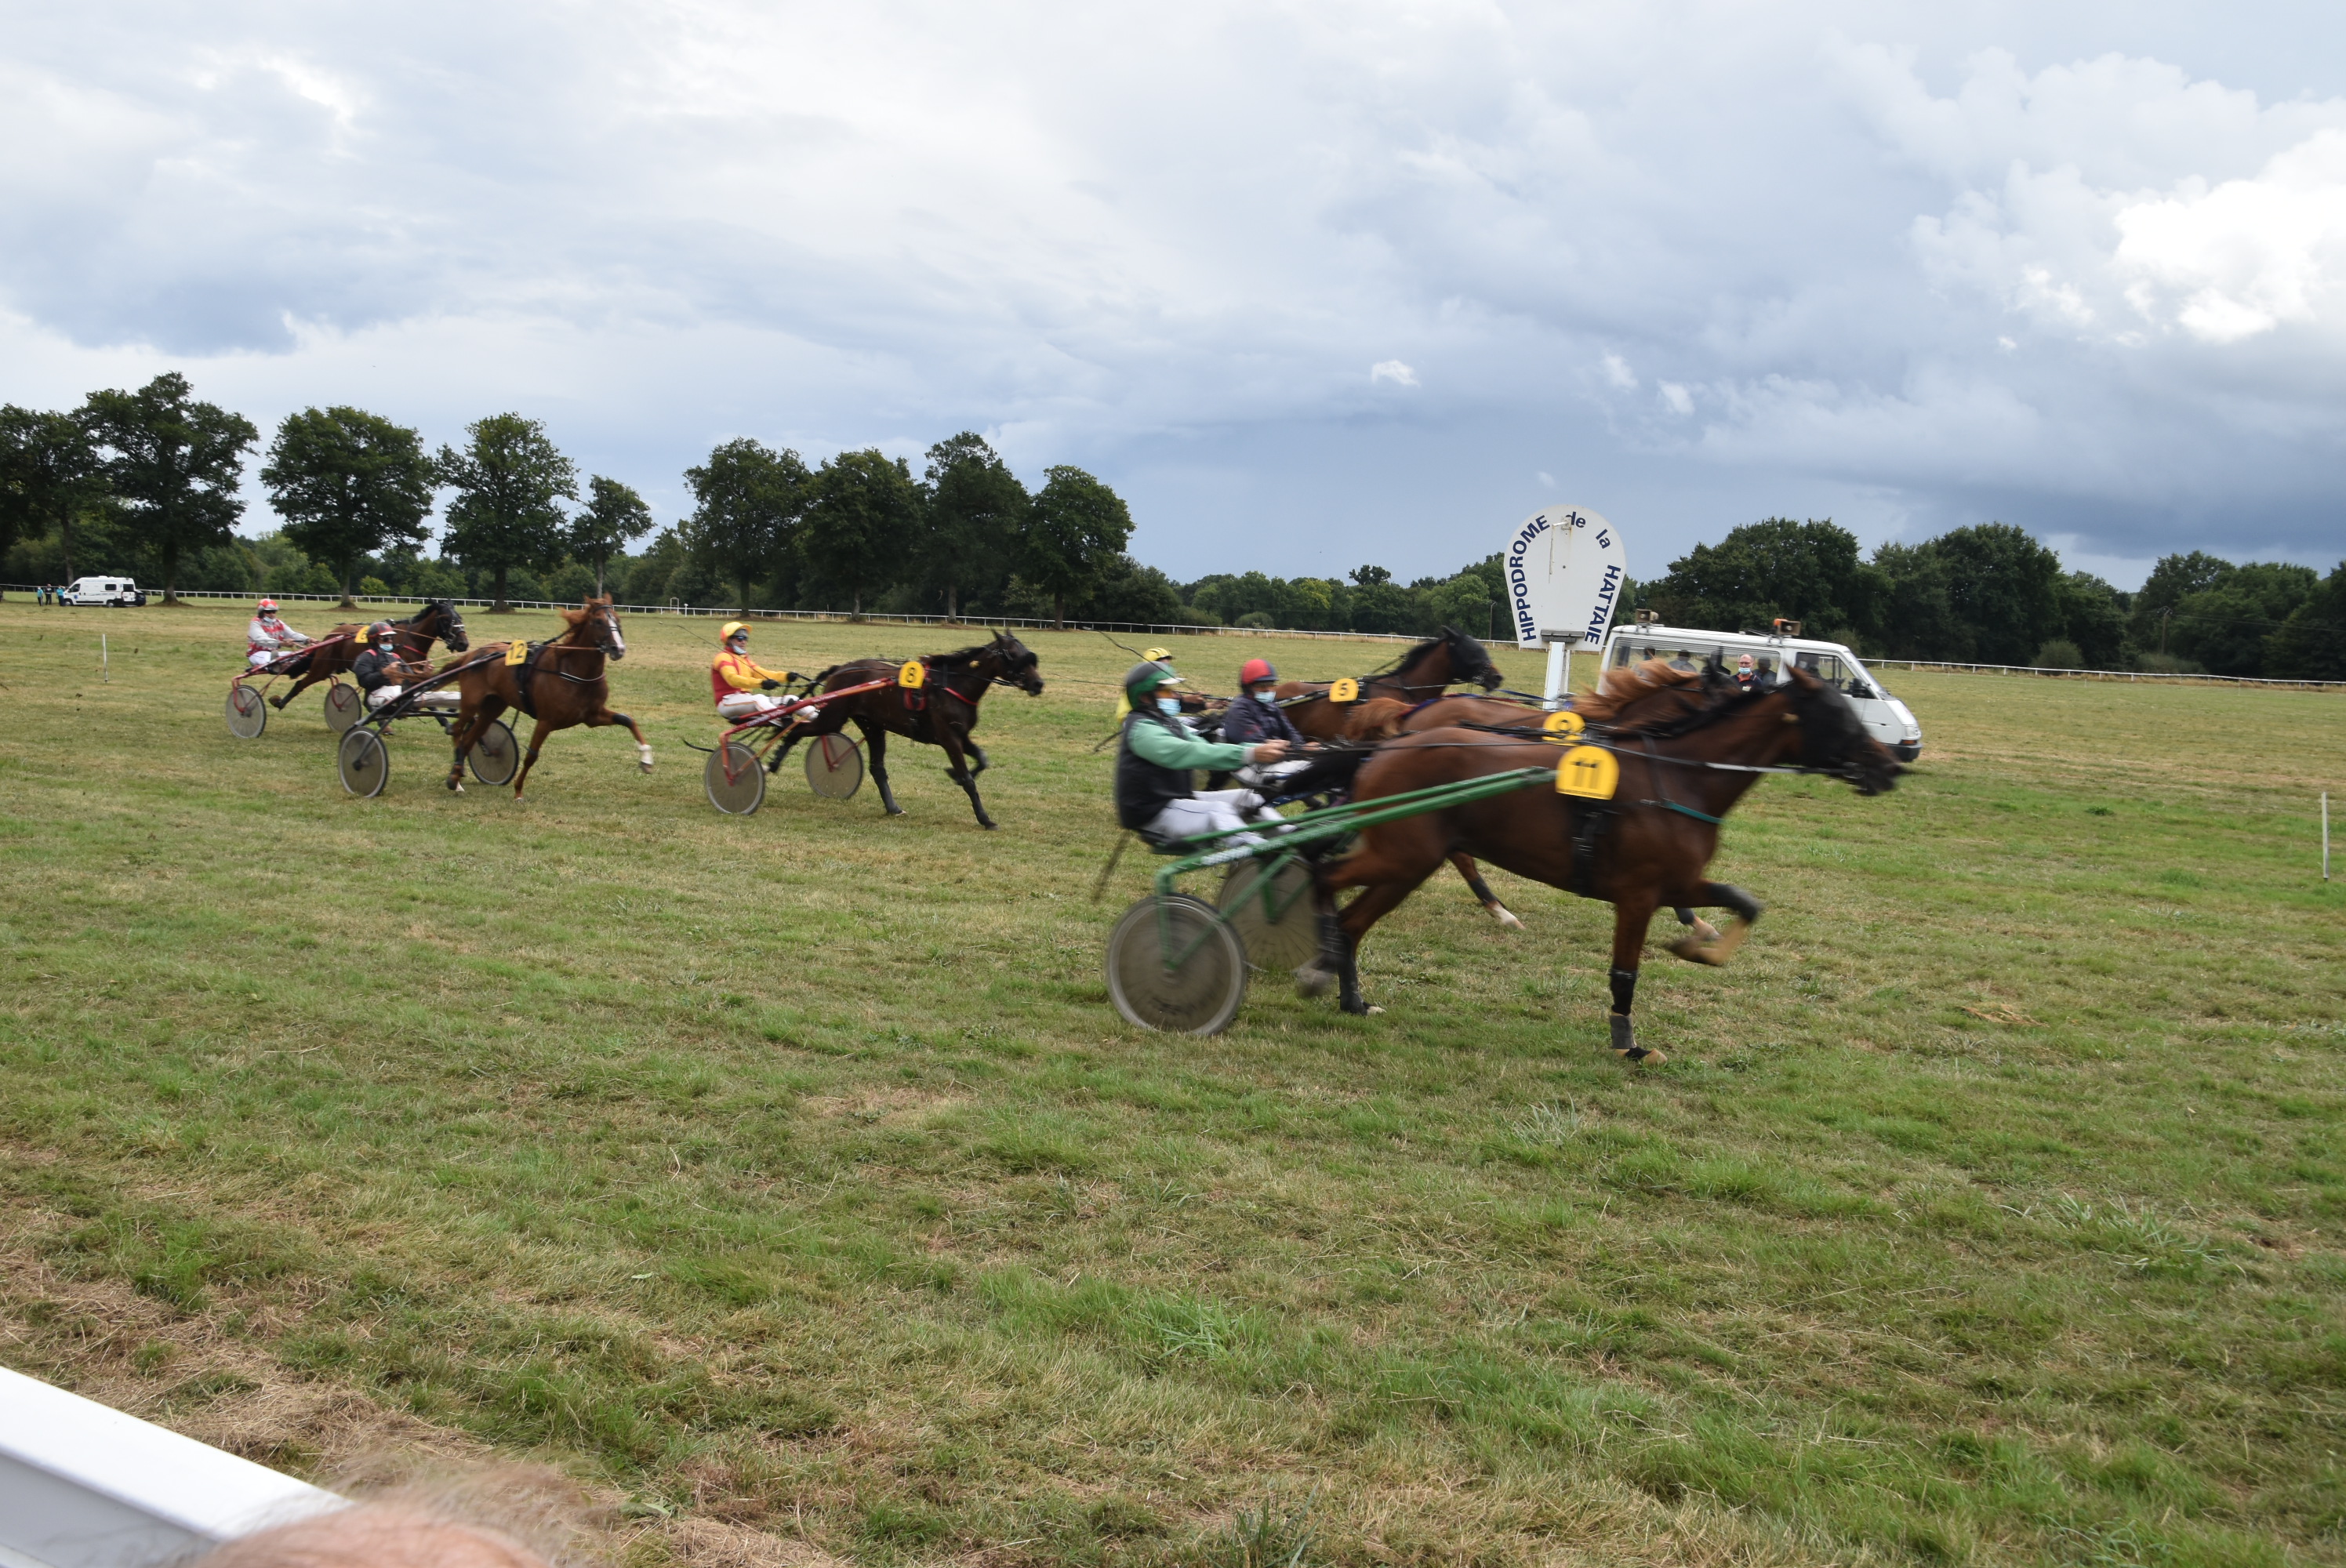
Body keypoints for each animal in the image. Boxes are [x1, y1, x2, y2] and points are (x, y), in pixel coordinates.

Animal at [269, 599, 470, 708]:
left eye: (460, 617)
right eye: (446, 619)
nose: (463, 643)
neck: (411, 638)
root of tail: (330, 636)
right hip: (322, 668)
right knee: (300, 684)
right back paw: (280, 702)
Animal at [438, 596, 652, 798]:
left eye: (617, 618)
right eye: (599, 621)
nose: (619, 649)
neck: (575, 671)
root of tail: (473, 655)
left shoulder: (592, 716)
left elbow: (627, 720)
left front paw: (646, 759)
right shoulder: (546, 721)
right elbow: (532, 755)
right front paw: (518, 791)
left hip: (494, 706)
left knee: (470, 738)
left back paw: (457, 777)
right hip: (472, 702)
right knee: (458, 731)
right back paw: (455, 779)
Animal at [767, 631, 1045, 829]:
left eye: (1028, 654)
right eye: (1012, 654)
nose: (1038, 683)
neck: (954, 686)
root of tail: (842, 668)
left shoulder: (961, 735)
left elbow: (982, 760)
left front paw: (955, 774)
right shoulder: (948, 738)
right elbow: (968, 779)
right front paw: (985, 819)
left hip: (872, 726)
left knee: (877, 768)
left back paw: (893, 807)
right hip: (833, 717)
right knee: (797, 730)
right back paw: (775, 761)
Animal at [1297, 664, 1903, 1064]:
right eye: (1839, 715)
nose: (1889, 766)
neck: (1679, 778)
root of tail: (1387, 746)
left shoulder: (1677, 882)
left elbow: (1744, 903)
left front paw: (1699, 946)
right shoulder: (1638, 895)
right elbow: (1624, 973)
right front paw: (1628, 1044)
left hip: (1407, 863)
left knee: (1352, 918)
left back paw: (1352, 996)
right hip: (1403, 855)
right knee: (1323, 876)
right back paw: (1321, 963)